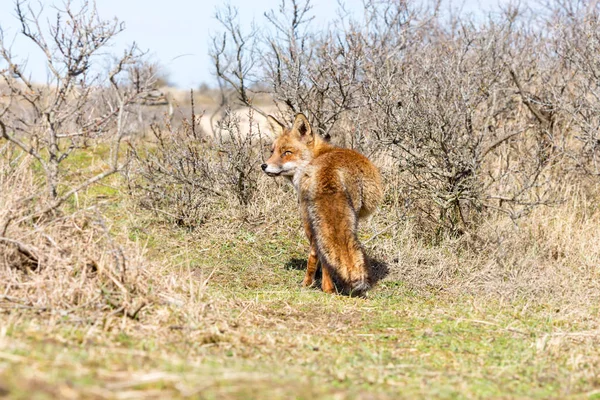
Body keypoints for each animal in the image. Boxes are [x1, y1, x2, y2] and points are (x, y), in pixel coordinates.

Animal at [262, 112, 384, 296]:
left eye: (287, 152)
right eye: (273, 151)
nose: (264, 166)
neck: (319, 154)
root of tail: (329, 171)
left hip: (310, 217)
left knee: (317, 251)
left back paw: (320, 286)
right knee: (317, 252)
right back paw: (324, 287)